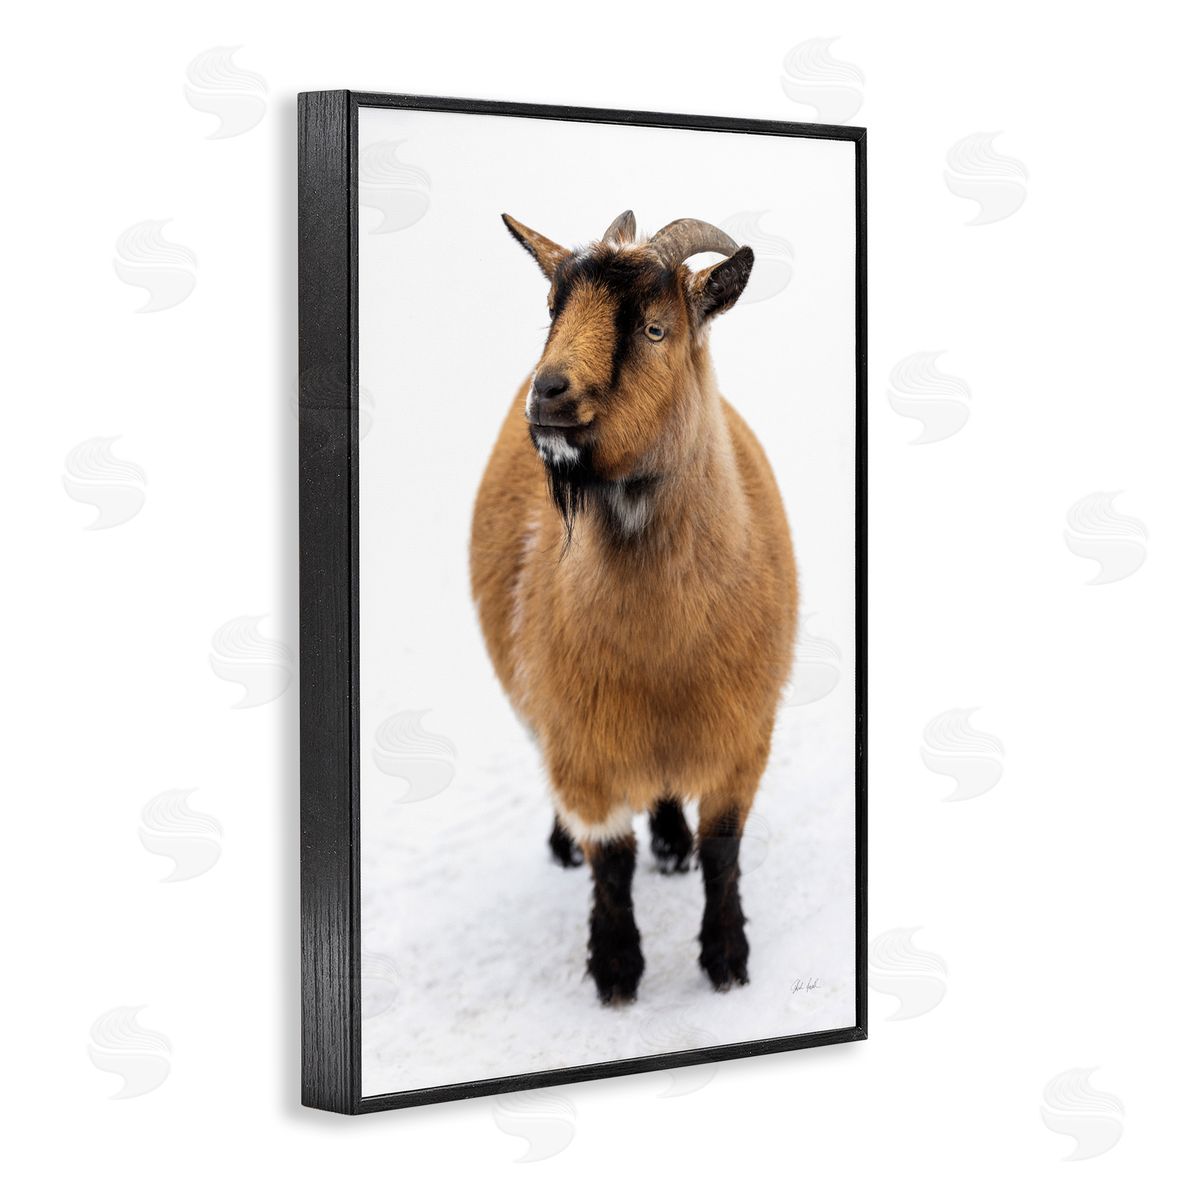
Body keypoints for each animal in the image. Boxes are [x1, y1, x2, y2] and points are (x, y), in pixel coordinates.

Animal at [470, 210, 798, 1003]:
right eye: (552, 308)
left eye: (654, 328)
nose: (548, 394)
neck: (663, 653)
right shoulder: (584, 743)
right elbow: (611, 860)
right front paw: (616, 968)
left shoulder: (744, 735)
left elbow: (723, 850)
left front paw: (727, 960)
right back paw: (565, 847)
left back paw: (672, 843)